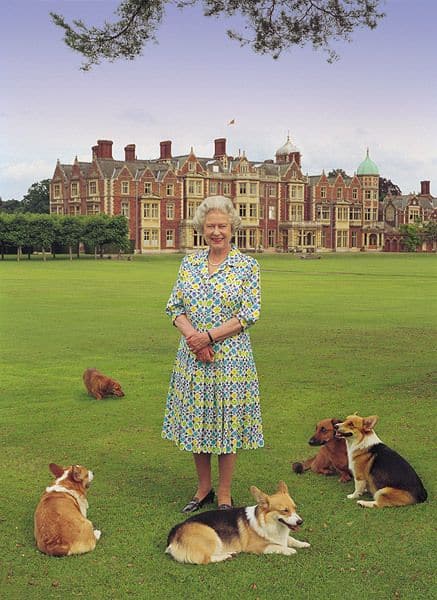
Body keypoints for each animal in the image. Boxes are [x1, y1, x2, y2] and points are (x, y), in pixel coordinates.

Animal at [164, 480, 310, 564]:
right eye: (284, 511)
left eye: (295, 508)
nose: (300, 522)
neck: (269, 523)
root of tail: (172, 539)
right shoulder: (257, 547)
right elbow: (277, 546)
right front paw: (290, 550)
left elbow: (291, 539)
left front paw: (303, 544)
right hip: (212, 535)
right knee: (205, 559)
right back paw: (226, 556)